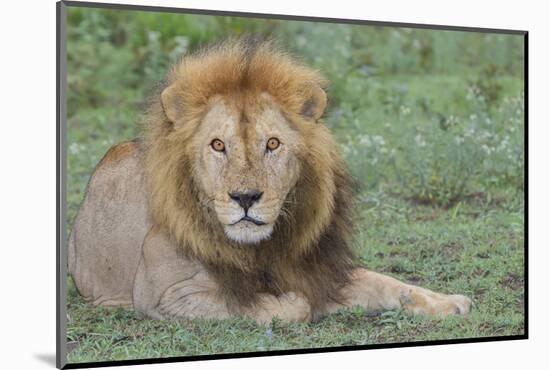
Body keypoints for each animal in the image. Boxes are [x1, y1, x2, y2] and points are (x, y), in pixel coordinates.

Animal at [69, 39, 474, 326]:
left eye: (273, 144)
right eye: (218, 145)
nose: (245, 197)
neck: (262, 247)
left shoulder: (320, 269)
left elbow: (388, 283)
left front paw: (450, 302)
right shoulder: (165, 296)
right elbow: (277, 307)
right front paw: (293, 301)